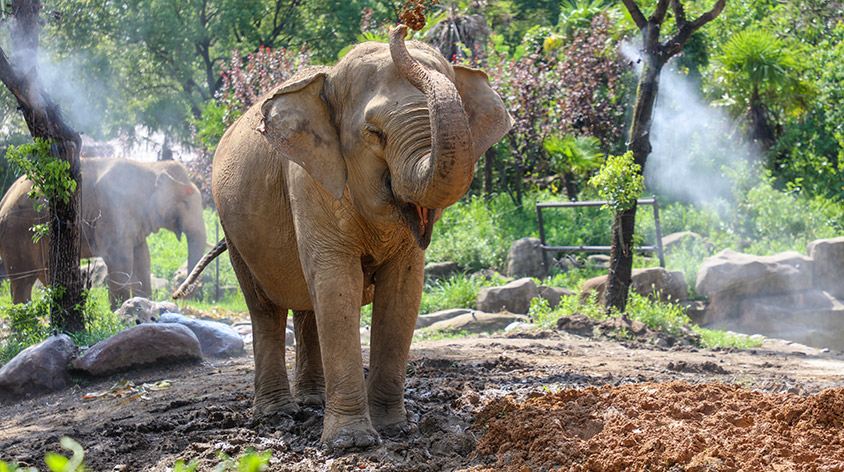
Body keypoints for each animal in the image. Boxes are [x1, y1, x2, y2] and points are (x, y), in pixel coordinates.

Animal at [0, 157, 207, 308]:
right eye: (186, 203)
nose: (177, 297)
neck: (151, 166)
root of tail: (4, 200)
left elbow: (143, 258)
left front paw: (145, 304)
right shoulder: (114, 210)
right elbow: (120, 260)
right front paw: (120, 311)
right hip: (18, 233)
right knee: (23, 281)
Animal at [175, 24, 512, 450]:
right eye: (375, 134)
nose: (403, 26)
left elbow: (403, 290)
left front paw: (394, 429)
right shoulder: (308, 179)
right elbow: (338, 283)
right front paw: (353, 443)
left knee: (306, 307)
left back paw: (312, 402)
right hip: (234, 230)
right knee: (266, 309)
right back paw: (278, 414)